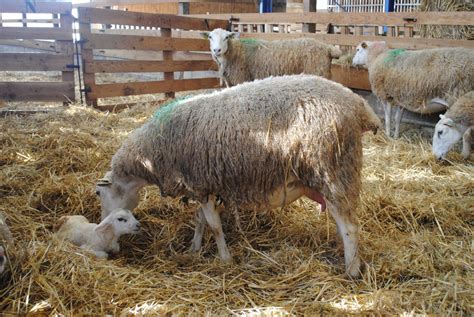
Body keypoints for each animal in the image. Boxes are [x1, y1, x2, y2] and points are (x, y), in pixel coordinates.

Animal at [94, 74, 380, 276]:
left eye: (98, 192)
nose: (101, 224)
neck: (152, 154)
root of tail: (361, 107)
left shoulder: (201, 184)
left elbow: (215, 225)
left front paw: (225, 259)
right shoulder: (203, 186)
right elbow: (200, 220)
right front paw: (194, 248)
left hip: (334, 170)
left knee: (351, 227)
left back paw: (351, 270)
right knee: (344, 225)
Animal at [202, 28, 342, 86]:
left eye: (226, 37)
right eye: (210, 37)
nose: (216, 50)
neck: (235, 53)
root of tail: (327, 47)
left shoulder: (242, 79)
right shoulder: (230, 82)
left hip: (318, 72)